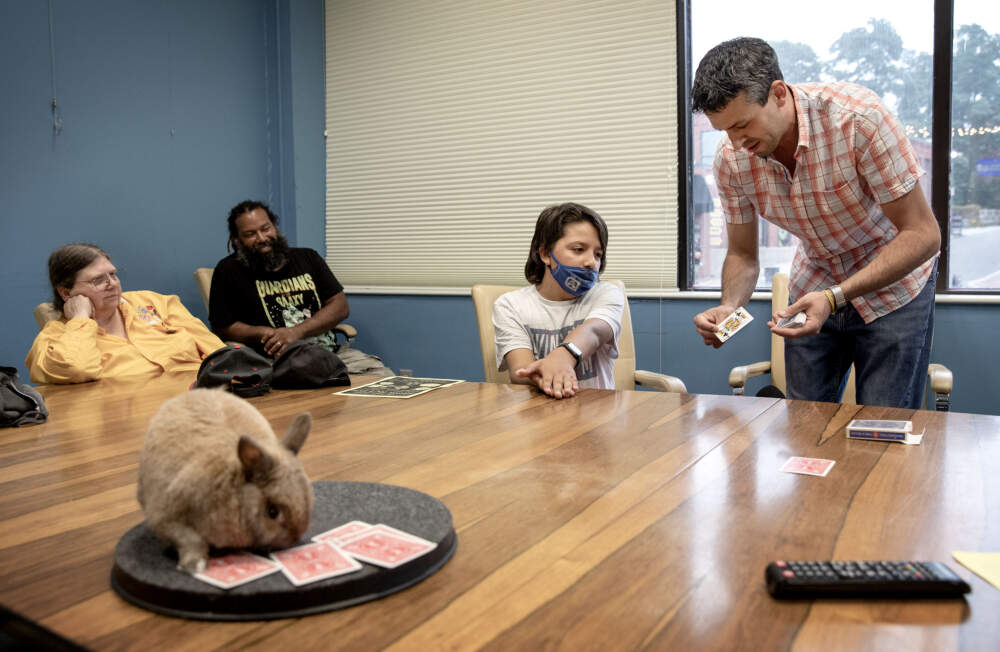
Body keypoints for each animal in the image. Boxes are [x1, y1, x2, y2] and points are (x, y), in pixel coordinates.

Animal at [137, 390, 314, 572]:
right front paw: (194, 566)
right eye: (272, 512)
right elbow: (191, 540)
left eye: (308, 499)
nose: (294, 538)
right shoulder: (166, 519)